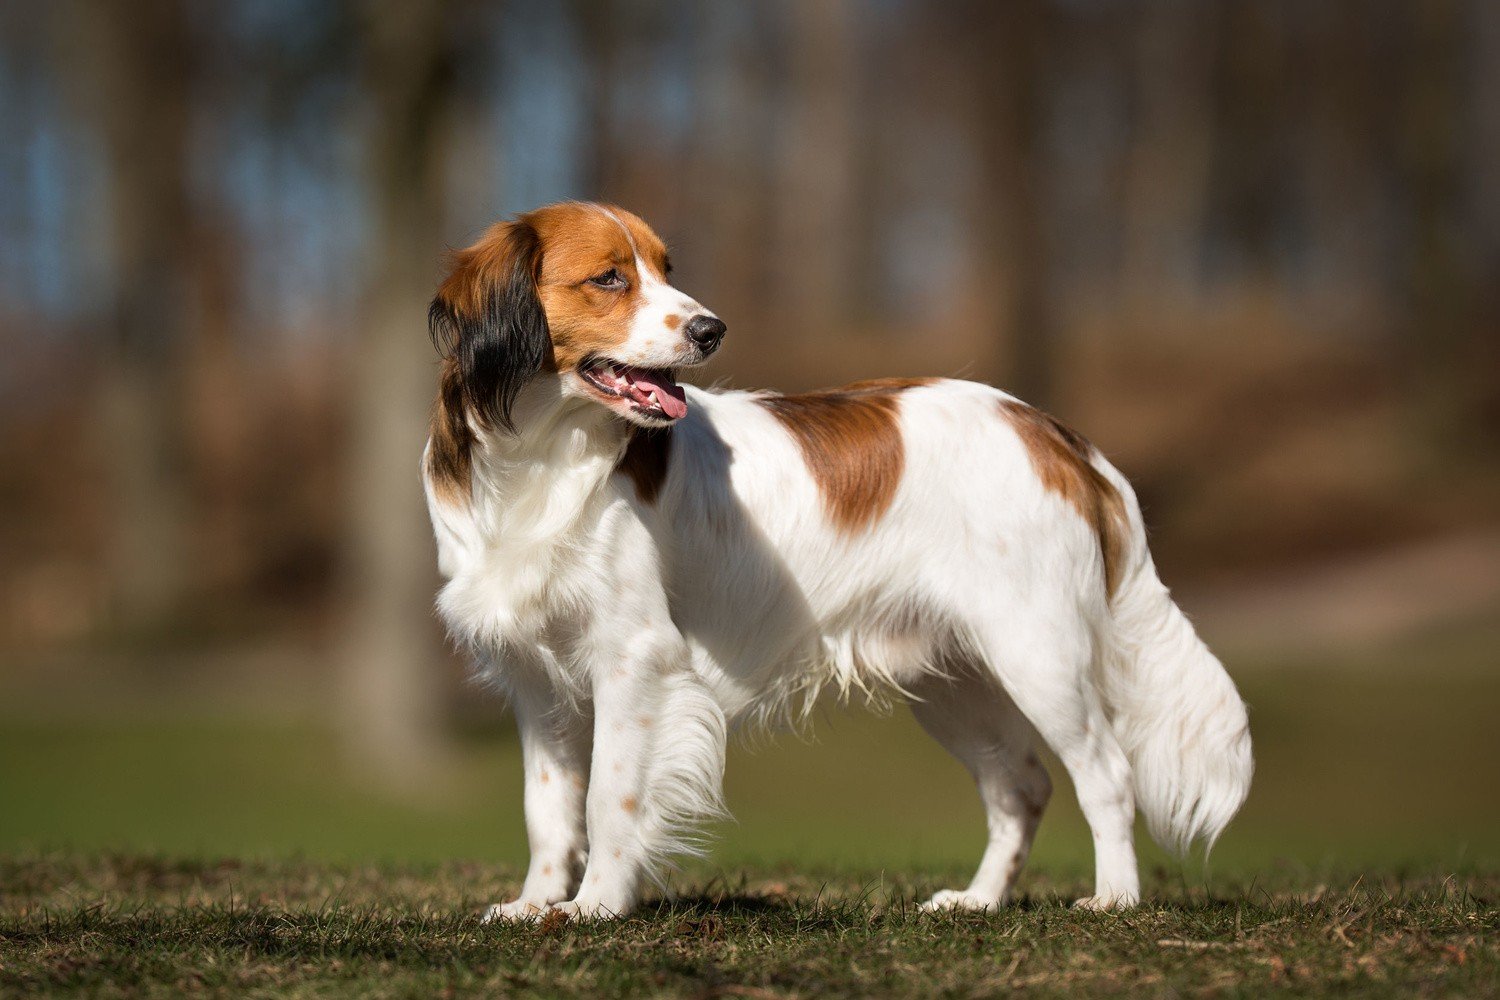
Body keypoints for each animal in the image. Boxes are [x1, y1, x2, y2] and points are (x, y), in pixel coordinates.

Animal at [423, 203, 1254, 923]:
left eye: (665, 268)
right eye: (609, 277)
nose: (711, 329)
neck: (544, 456)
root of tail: (1052, 431)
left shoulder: (634, 659)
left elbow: (609, 797)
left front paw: (596, 905)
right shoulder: (537, 682)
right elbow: (547, 807)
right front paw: (535, 905)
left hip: (1037, 655)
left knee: (1105, 774)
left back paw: (1114, 897)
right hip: (955, 681)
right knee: (1020, 784)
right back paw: (978, 901)